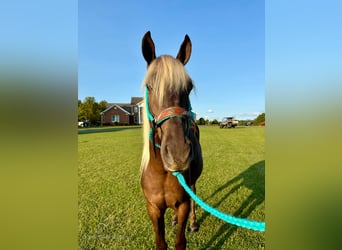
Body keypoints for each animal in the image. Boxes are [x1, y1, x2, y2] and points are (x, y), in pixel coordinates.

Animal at [140, 31, 202, 250]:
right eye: (149, 86)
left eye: (189, 87)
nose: (178, 155)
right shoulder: (153, 208)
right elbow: (161, 243)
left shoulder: (183, 204)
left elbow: (179, 242)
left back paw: (193, 223)